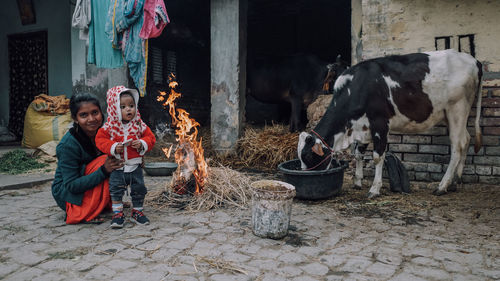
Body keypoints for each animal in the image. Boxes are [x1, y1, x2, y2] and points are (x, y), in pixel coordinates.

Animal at [298, 49, 482, 197]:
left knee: (457, 146)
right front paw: (358, 181)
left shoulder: (380, 123)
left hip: (457, 108)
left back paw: (442, 186)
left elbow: (377, 157)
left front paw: (374, 189)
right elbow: (358, 153)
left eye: (308, 155)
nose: (304, 175)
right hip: (454, 114)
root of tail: (473, 59)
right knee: (466, 140)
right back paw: (456, 181)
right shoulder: (363, 126)